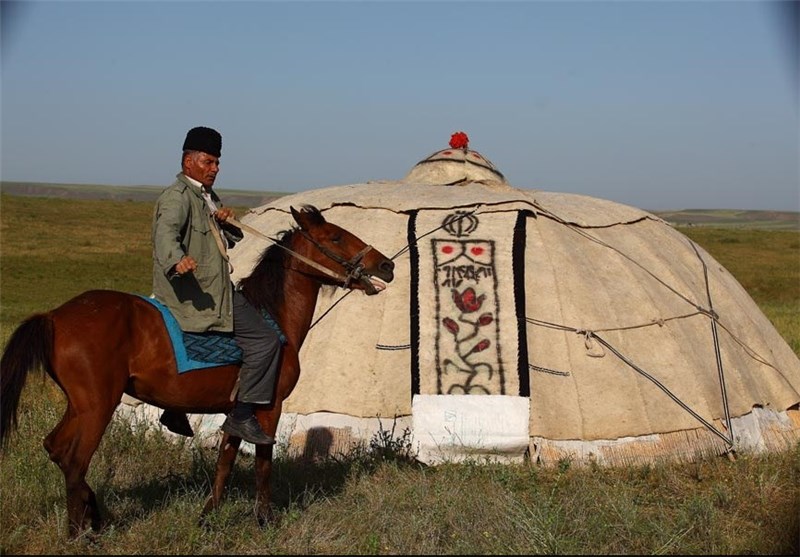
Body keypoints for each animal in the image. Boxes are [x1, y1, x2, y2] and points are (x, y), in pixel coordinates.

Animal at [1, 205, 396, 540]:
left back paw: (96, 516)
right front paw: (265, 519)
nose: (387, 265)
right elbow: (263, 462)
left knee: (55, 448)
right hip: (98, 407)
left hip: (79, 405)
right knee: (75, 461)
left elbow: (226, 460)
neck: (274, 316)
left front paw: (208, 516)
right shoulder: (269, 407)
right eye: (335, 237)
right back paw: (80, 533)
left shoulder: (239, 411)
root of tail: (53, 317)